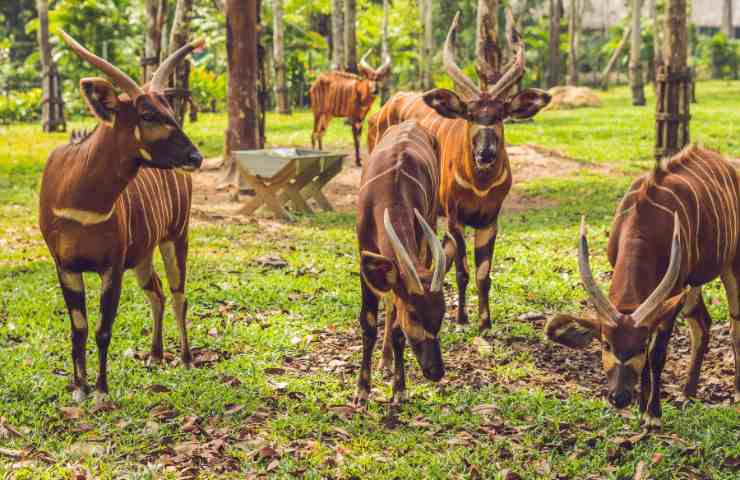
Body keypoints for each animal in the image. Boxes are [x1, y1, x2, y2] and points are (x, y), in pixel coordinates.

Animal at [39, 30, 204, 406]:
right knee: (156, 291)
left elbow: (103, 329)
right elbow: (79, 328)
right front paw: (79, 389)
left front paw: (101, 393)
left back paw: (186, 360)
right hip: (143, 255)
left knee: (178, 294)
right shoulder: (65, 266)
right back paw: (155, 356)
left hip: (177, 236)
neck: (78, 198)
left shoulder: (110, 267)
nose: (195, 156)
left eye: (170, 111)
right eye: (147, 114)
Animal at [356, 120, 454, 404]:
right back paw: (384, 361)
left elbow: (398, 329)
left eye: (442, 313)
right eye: (414, 314)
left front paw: (399, 390)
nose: (436, 371)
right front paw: (361, 391)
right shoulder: (364, 252)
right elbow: (369, 323)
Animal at [368, 9, 548, 330]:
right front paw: (462, 319)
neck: (480, 183)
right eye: (471, 115)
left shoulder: (490, 220)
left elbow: (483, 275)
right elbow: (463, 272)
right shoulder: (455, 217)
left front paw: (485, 322)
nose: (486, 153)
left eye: (499, 115)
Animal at [548, 146, 740, 428]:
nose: (619, 398)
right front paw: (641, 408)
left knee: (734, 324)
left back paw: (736, 393)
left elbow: (657, 354)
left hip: (730, 267)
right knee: (702, 323)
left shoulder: (672, 295)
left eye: (639, 345)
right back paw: (687, 394)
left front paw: (653, 415)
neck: (645, 220)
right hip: (692, 284)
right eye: (606, 344)